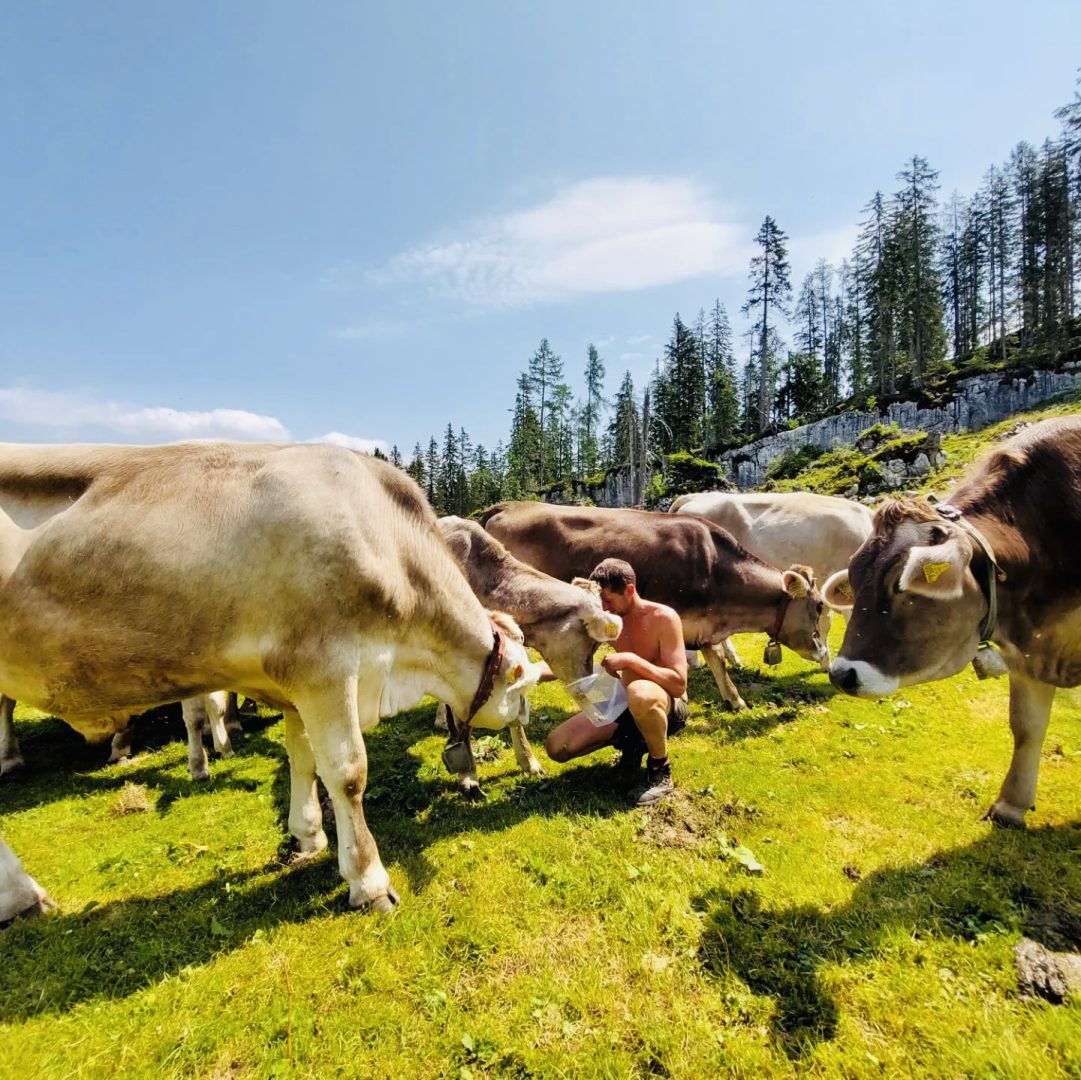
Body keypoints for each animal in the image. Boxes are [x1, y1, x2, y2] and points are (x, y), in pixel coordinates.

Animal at [0, 436, 544, 912]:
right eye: (522, 692)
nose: (526, 723)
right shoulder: (326, 671)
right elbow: (347, 773)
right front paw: (367, 881)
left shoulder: (295, 686)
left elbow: (302, 759)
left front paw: (307, 836)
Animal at [477, 497, 821, 709]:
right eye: (818, 606)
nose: (821, 650)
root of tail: (508, 505)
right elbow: (706, 659)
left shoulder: (704, 624)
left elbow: (716, 658)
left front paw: (734, 699)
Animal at [821, 415, 1081, 825]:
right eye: (857, 579)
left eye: (902, 584)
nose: (842, 674)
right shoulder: (1027, 654)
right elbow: (1025, 725)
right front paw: (1011, 805)